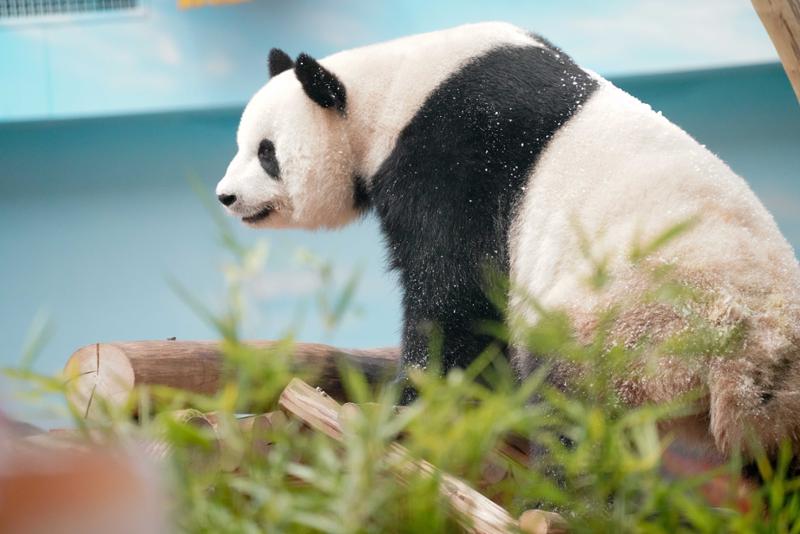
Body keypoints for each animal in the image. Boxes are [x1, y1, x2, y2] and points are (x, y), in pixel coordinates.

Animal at [216, 22, 800, 460]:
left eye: (267, 153)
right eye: (242, 144)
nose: (225, 196)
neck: (389, 89)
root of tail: (745, 361)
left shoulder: (455, 156)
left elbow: (453, 293)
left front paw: (411, 400)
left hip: (634, 325)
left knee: (575, 412)